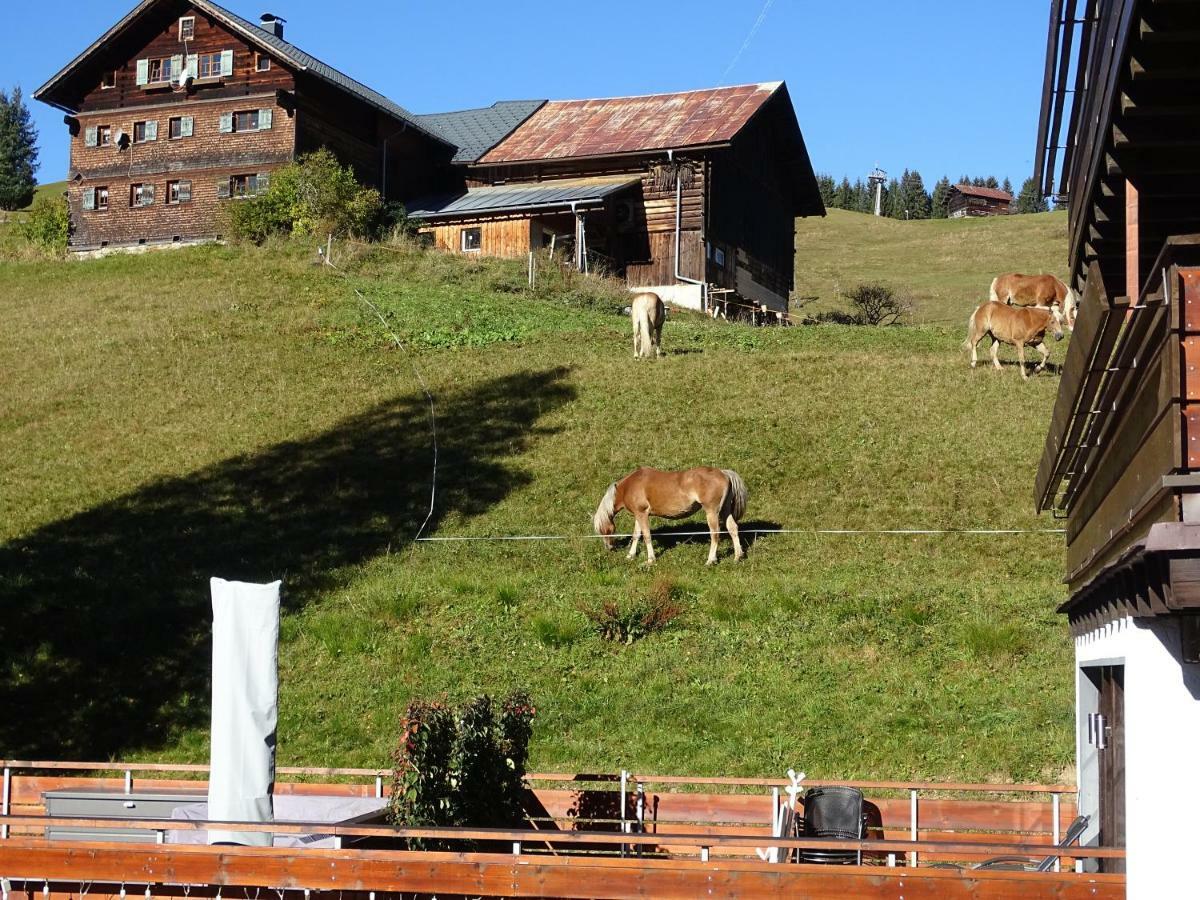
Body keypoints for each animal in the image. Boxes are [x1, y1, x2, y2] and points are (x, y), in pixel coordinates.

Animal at [592, 468, 748, 566]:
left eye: (607, 530)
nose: (609, 547)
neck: (629, 486)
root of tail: (724, 473)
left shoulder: (642, 514)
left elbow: (647, 536)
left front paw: (650, 560)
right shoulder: (638, 514)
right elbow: (636, 535)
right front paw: (630, 556)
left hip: (712, 512)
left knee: (715, 534)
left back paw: (710, 561)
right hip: (725, 510)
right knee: (733, 528)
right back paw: (737, 557)